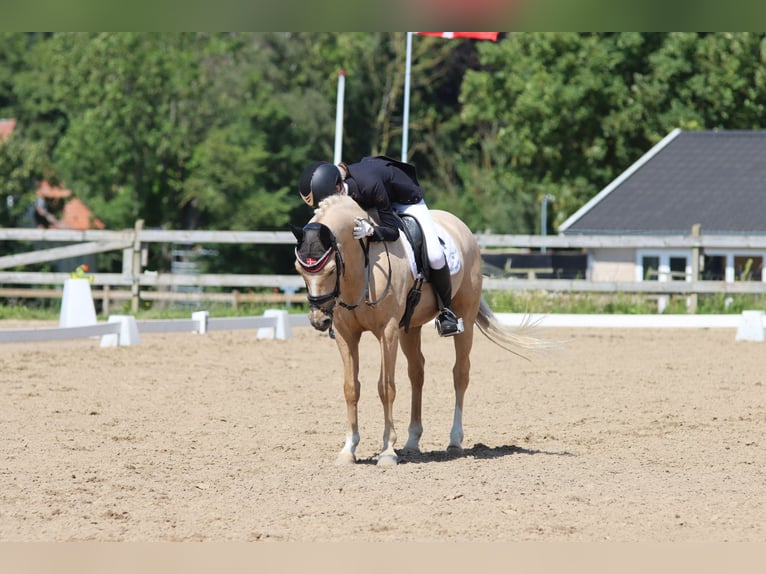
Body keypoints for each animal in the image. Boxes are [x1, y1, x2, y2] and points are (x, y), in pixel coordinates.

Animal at [292, 196, 548, 466]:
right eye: (299, 269)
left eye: (331, 269)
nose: (319, 320)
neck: (361, 263)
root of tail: (460, 225)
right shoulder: (346, 334)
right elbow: (351, 387)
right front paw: (348, 450)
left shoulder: (387, 331)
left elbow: (386, 387)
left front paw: (387, 451)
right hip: (410, 328)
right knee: (417, 373)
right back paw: (412, 442)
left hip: (464, 318)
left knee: (460, 373)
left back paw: (454, 441)